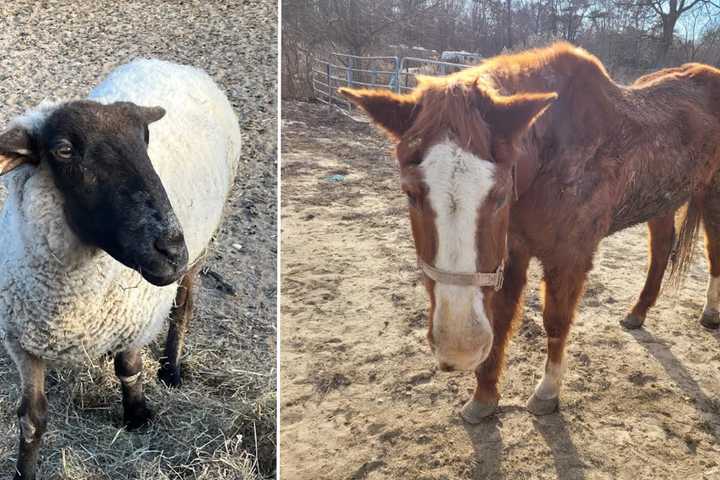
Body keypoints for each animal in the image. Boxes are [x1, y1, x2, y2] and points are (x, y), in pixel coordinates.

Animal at [0, 60, 243, 480]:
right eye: (63, 150)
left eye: (145, 140)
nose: (171, 249)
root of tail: (171, 63)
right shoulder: (22, 341)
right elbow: (31, 419)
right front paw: (24, 470)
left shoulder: (136, 320)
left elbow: (129, 368)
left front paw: (137, 415)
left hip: (202, 247)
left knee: (184, 307)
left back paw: (171, 369)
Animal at [340, 43, 720, 422]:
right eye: (409, 193)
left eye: (499, 194)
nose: (460, 347)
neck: (551, 156)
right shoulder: (511, 252)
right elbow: (502, 316)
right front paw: (484, 396)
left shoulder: (570, 257)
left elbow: (556, 320)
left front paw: (547, 393)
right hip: (663, 200)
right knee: (662, 248)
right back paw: (638, 312)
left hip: (711, 194)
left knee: (712, 249)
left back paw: (710, 313)